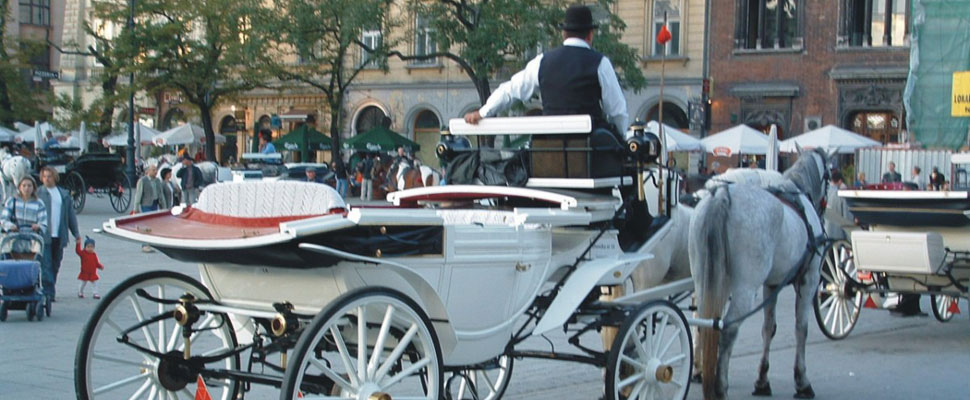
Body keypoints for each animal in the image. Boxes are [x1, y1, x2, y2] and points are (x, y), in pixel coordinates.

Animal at [684, 149, 828, 400]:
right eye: (830, 176)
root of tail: (722, 194)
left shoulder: (772, 285)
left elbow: (768, 329)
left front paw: (762, 380)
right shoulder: (808, 280)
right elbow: (801, 328)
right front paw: (802, 381)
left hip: (704, 280)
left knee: (703, 324)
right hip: (745, 288)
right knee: (728, 329)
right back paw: (720, 387)